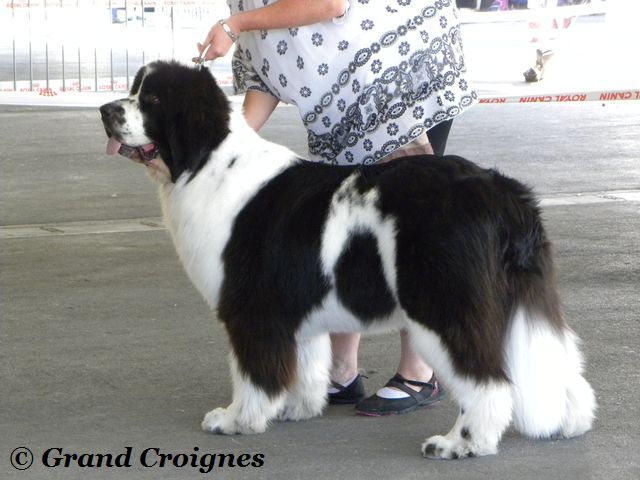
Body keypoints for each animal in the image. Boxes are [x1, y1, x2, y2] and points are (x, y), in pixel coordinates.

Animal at [100, 61, 595, 459]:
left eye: (153, 99)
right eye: (134, 88)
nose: (105, 111)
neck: (209, 163)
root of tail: (499, 190)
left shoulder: (252, 310)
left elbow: (253, 372)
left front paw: (238, 418)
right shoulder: (292, 309)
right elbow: (302, 364)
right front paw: (295, 409)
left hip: (442, 303)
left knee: (487, 381)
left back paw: (460, 443)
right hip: (524, 297)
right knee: (555, 359)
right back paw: (570, 422)